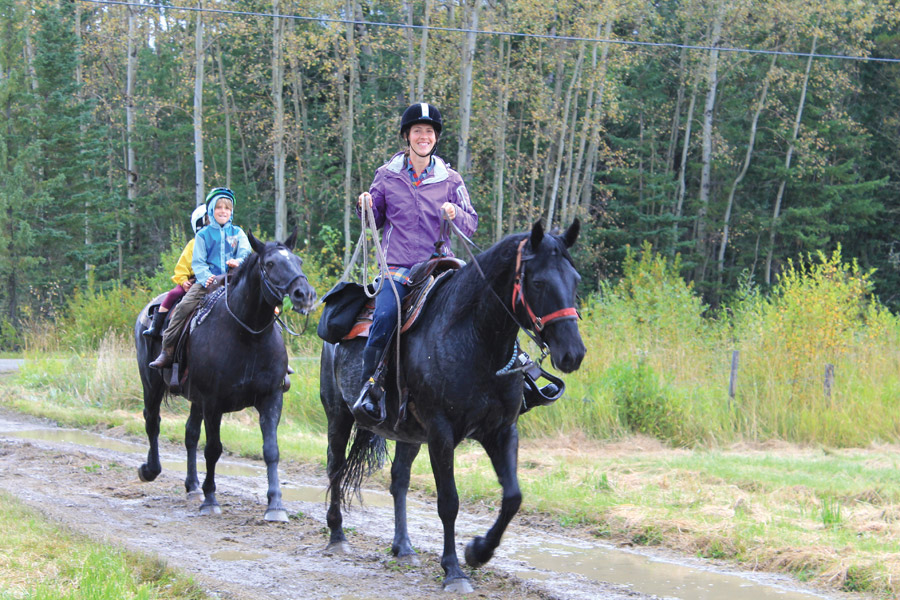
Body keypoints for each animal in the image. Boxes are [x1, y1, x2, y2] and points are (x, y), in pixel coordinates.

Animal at [134, 230, 316, 520]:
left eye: (298, 260)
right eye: (270, 264)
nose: (305, 295)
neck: (248, 335)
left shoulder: (271, 398)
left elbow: (271, 451)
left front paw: (276, 505)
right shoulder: (213, 402)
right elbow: (213, 450)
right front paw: (210, 500)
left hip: (194, 399)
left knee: (190, 434)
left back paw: (193, 486)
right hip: (151, 384)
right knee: (153, 421)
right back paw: (151, 470)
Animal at [320, 219, 588, 592]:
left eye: (575, 280)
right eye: (538, 282)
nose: (572, 353)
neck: (474, 339)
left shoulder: (501, 431)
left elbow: (513, 497)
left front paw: (478, 551)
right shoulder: (441, 434)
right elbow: (449, 502)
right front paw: (454, 571)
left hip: (407, 434)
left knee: (398, 479)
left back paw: (403, 547)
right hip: (339, 416)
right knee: (335, 467)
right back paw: (337, 536)